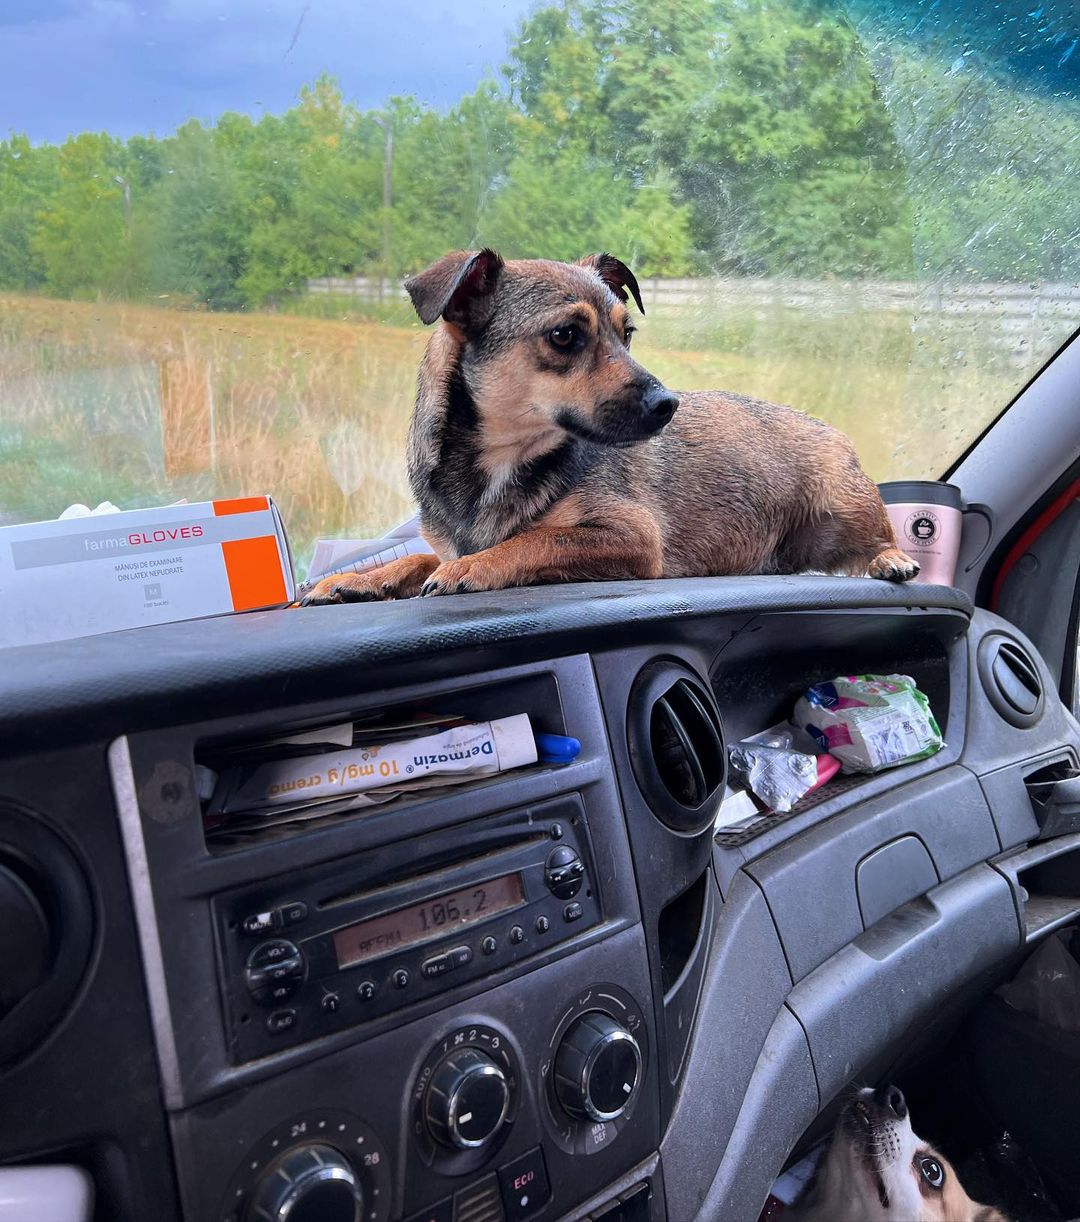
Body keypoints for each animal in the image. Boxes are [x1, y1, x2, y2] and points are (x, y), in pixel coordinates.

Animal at [304, 249, 918, 606]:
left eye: (628, 334)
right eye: (565, 336)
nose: (669, 403)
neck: (503, 459)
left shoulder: (631, 536)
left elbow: (533, 539)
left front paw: (474, 567)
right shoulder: (447, 539)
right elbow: (421, 556)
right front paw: (355, 579)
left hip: (847, 503)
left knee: (872, 543)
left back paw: (890, 559)